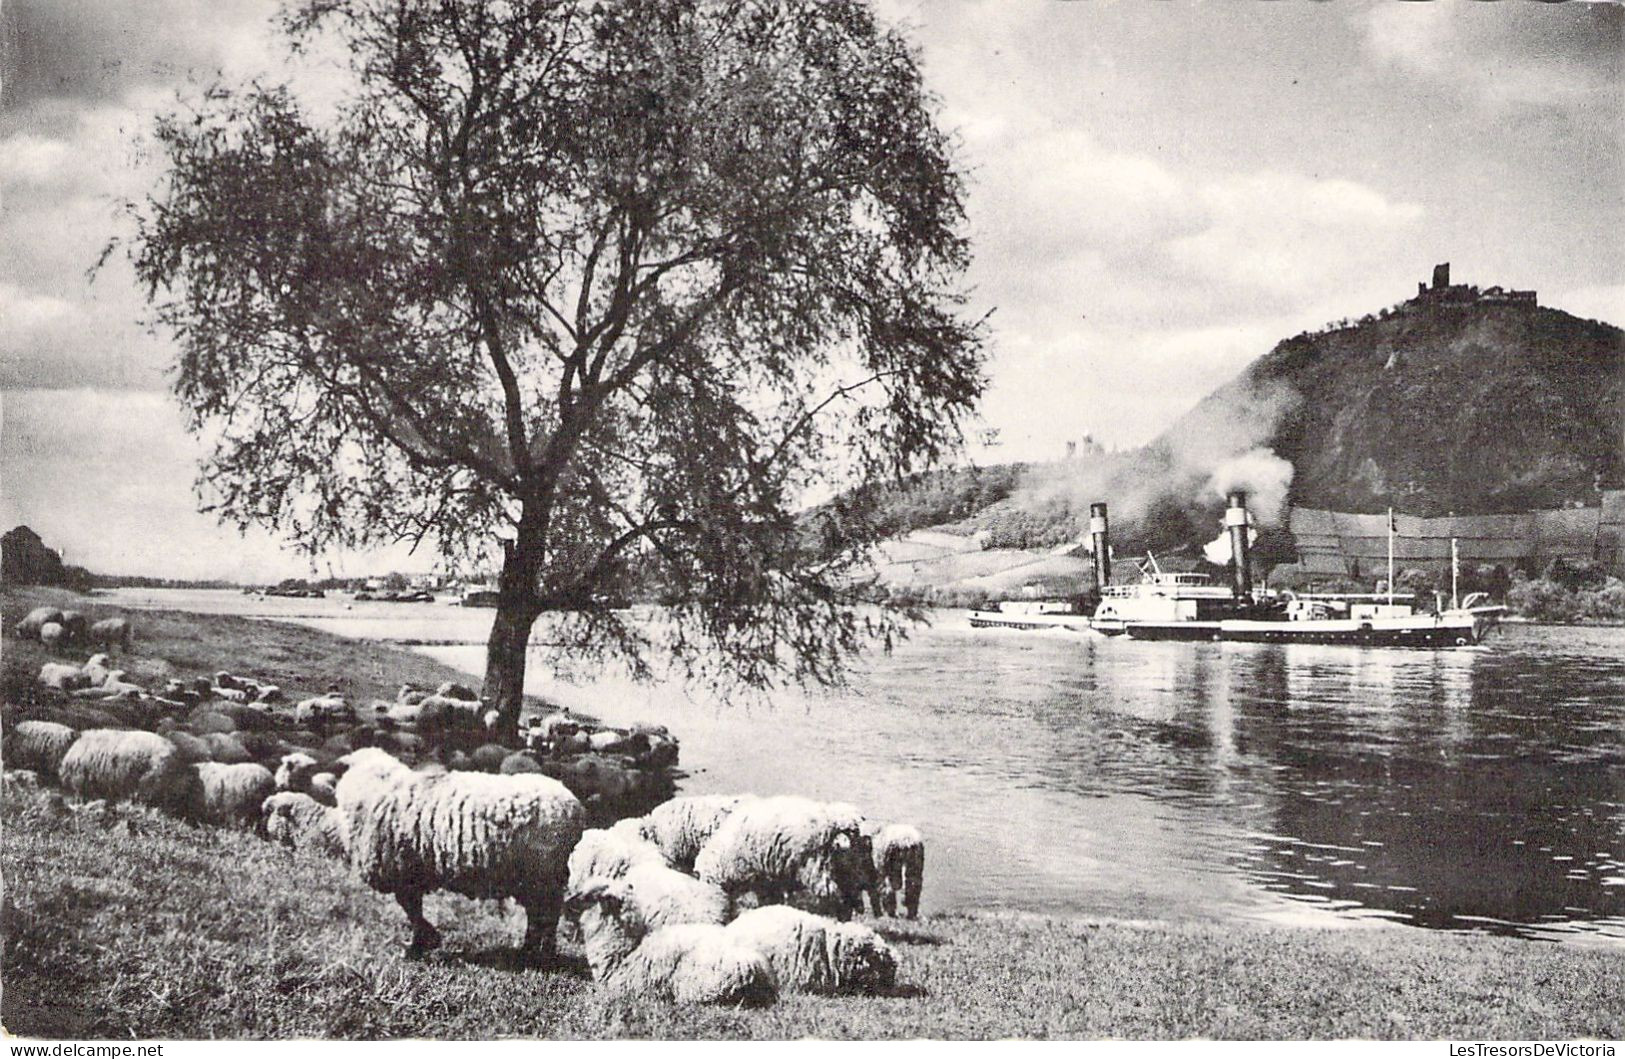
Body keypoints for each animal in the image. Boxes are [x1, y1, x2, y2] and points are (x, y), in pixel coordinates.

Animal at [333, 743, 588, 961]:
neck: (377, 787)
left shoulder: (401, 870)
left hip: (542, 875)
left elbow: (411, 909)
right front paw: (425, 941)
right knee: (539, 916)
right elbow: (413, 908)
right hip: (534, 879)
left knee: (546, 915)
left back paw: (539, 954)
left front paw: (419, 945)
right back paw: (530, 950)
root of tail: (574, 806)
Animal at [695, 792, 877, 916]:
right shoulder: (770, 876)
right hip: (850, 865)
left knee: (832, 894)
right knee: (850, 894)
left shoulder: (761, 875)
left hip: (816, 865)